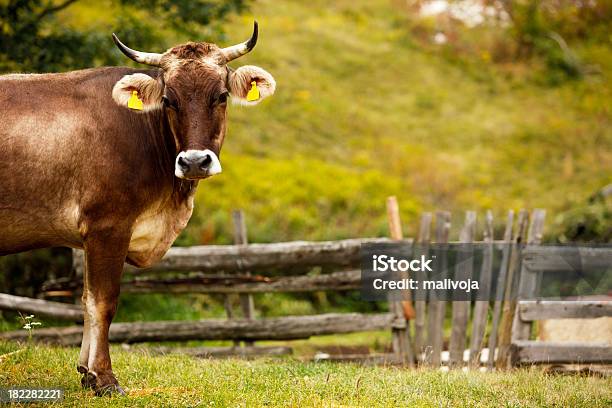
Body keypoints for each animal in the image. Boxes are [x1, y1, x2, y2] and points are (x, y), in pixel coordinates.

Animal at [0, 23, 274, 396]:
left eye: (220, 96)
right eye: (169, 100)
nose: (194, 161)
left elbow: (86, 299)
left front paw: (86, 373)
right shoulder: (108, 226)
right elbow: (103, 302)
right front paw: (104, 378)